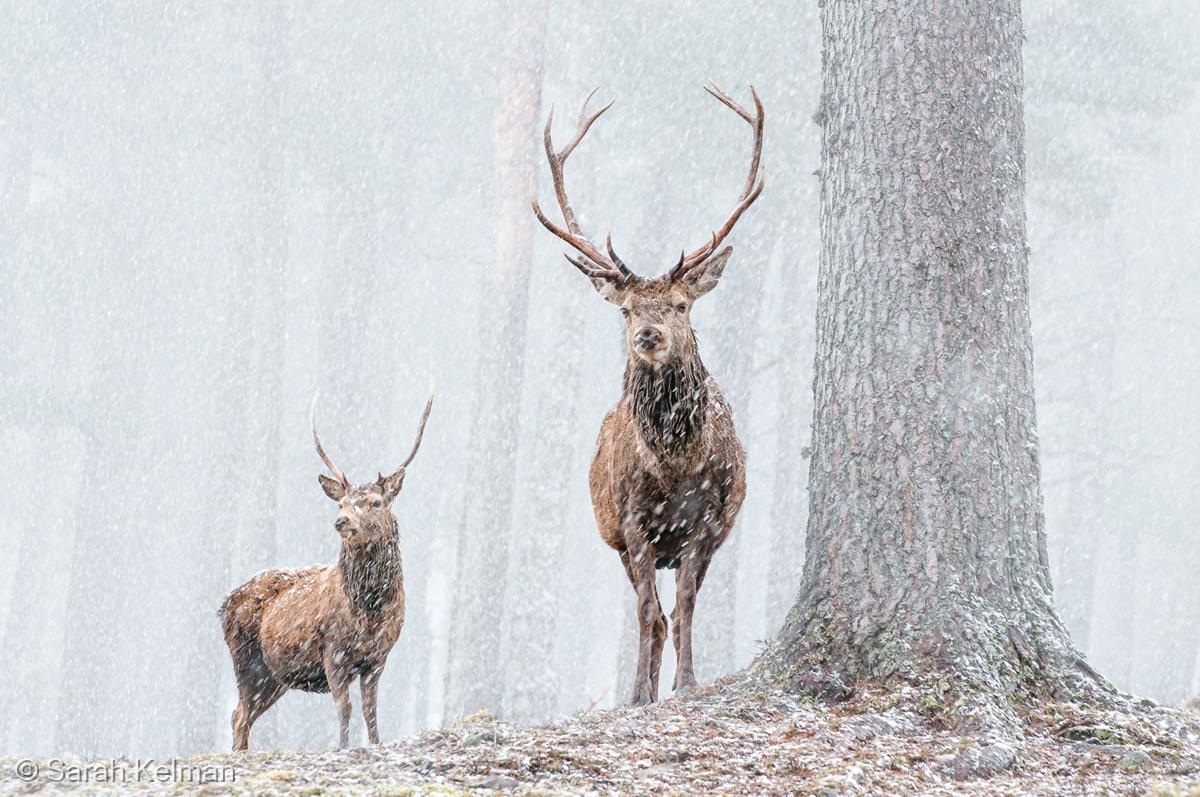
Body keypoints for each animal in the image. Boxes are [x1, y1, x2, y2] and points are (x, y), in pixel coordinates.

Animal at [219, 391, 432, 748]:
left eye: (375, 502)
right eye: (341, 503)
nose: (341, 521)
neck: (369, 614)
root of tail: (223, 604)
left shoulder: (378, 657)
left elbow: (370, 711)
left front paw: (374, 744)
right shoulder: (333, 652)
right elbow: (345, 708)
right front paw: (342, 746)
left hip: (276, 676)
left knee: (243, 714)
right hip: (247, 661)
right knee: (239, 715)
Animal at [537, 84, 763, 705]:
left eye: (681, 305)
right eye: (628, 309)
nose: (648, 336)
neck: (674, 468)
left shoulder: (708, 521)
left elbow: (684, 607)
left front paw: (687, 683)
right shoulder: (632, 519)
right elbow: (647, 612)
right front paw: (639, 694)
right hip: (617, 537)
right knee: (650, 611)